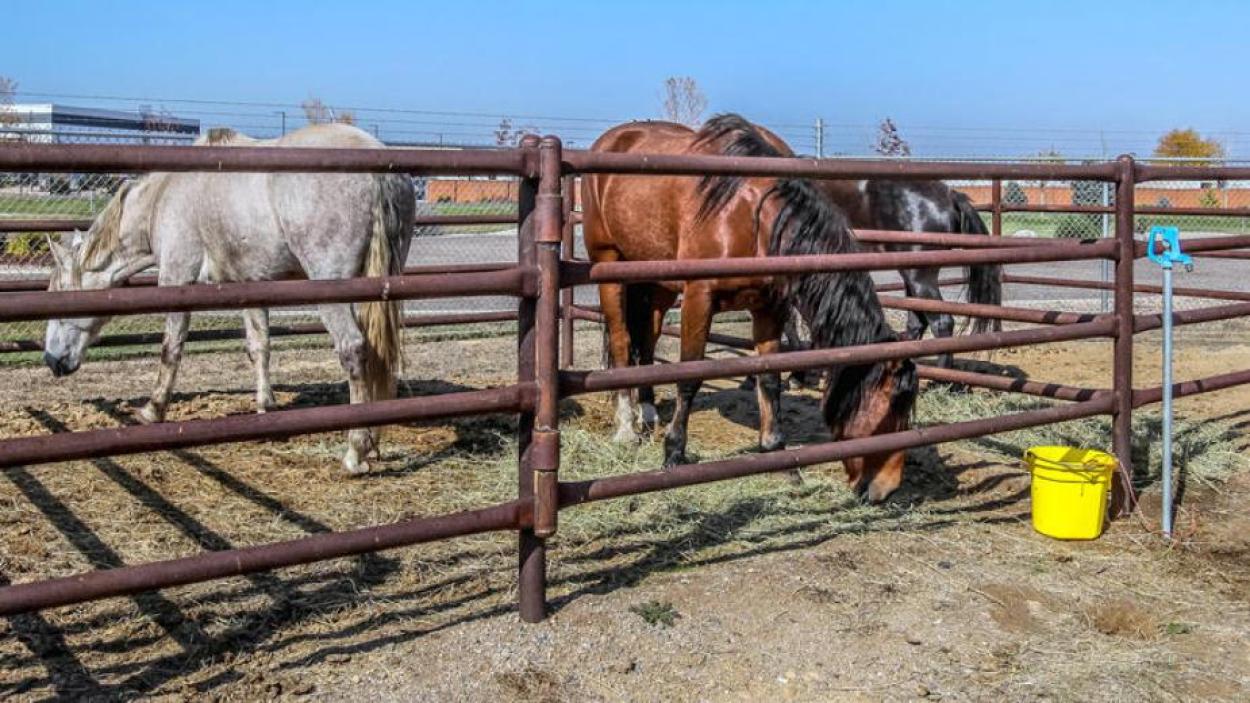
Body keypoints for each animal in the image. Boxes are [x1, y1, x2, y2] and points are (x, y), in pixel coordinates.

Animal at [42, 125, 415, 472]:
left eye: (60, 298)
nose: (52, 360)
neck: (166, 196)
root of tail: (377, 171)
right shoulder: (249, 284)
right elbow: (259, 347)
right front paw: (265, 407)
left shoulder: (177, 278)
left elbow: (170, 349)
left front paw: (152, 409)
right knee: (379, 354)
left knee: (353, 348)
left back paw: (355, 451)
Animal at [582, 113, 920, 497]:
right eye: (892, 406)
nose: (885, 489)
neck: (754, 213)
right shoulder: (699, 297)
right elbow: (689, 377)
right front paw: (674, 453)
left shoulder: (770, 307)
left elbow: (769, 379)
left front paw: (779, 455)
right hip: (610, 266)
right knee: (623, 342)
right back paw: (626, 428)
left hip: (657, 280)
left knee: (647, 339)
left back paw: (649, 413)